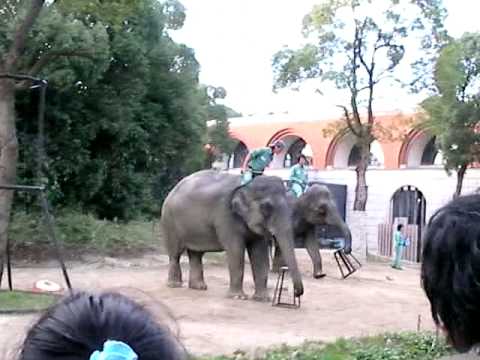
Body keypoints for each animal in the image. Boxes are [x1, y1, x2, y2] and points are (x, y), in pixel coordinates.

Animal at [161, 170, 304, 300]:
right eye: (266, 207)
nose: (297, 293)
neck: (248, 185)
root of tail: (173, 189)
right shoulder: (225, 216)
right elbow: (236, 250)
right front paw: (238, 297)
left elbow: (260, 255)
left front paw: (262, 299)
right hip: (170, 221)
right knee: (175, 254)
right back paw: (174, 285)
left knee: (196, 254)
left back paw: (199, 287)